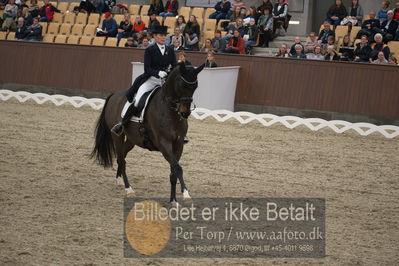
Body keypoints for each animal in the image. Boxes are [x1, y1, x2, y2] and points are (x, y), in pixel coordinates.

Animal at [91, 62, 206, 204]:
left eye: (195, 87)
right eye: (181, 85)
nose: (185, 113)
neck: (170, 110)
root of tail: (114, 95)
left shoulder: (179, 144)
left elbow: (174, 170)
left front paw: (180, 196)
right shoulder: (164, 144)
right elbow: (177, 168)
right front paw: (181, 196)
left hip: (132, 140)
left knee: (121, 156)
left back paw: (119, 181)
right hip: (117, 136)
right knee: (121, 159)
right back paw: (129, 189)